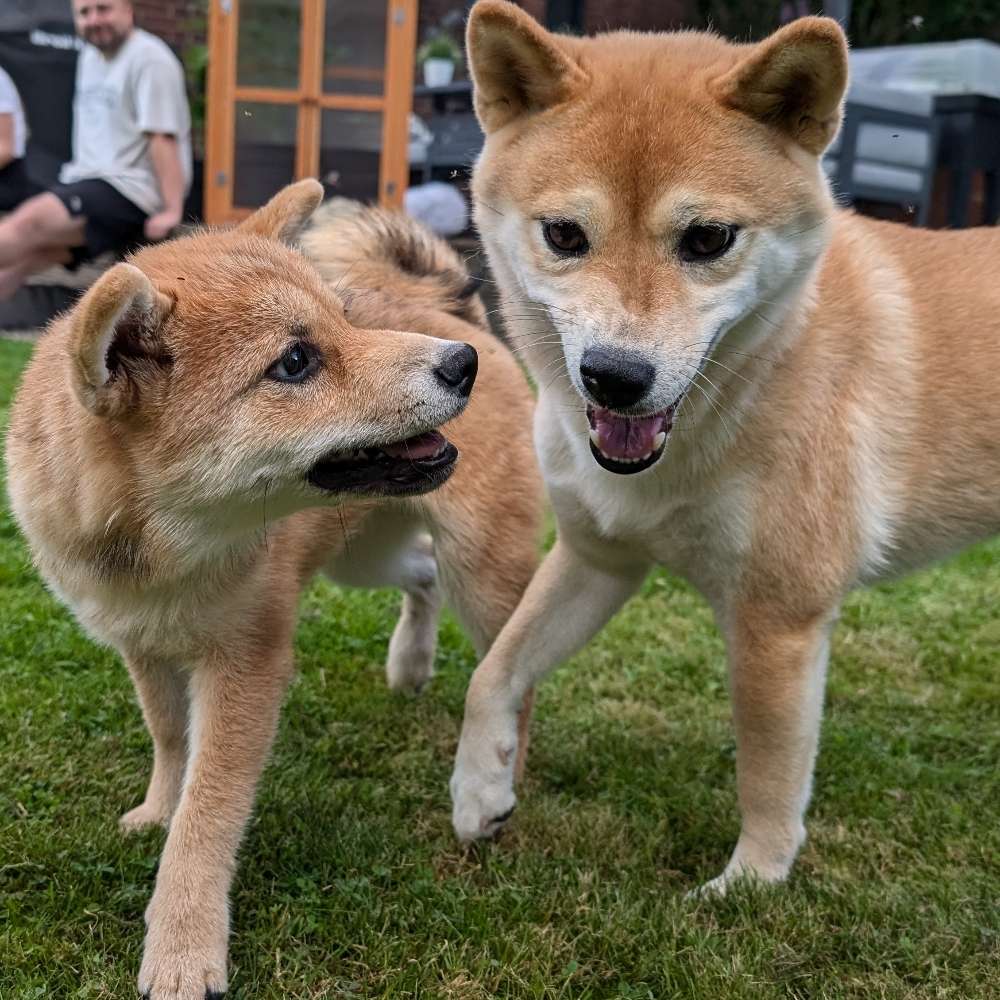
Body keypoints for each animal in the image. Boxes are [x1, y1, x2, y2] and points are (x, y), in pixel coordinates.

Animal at [3, 182, 544, 1000]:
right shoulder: (142, 645)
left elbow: (209, 813)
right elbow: (171, 742)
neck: (165, 558)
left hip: (482, 569)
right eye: (294, 362)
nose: (462, 366)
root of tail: (460, 316)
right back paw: (410, 664)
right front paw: (157, 809)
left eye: (345, 319)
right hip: (366, 556)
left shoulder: (247, 666)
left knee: (512, 673)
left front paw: (183, 943)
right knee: (421, 575)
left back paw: (496, 782)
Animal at [450, 0, 1000, 892]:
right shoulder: (599, 557)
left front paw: (750, 884)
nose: (615, 377)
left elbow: (767, 773)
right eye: (564, 235)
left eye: (707, 240)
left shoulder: (779, 620)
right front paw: (480, 790)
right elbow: (493, 670)